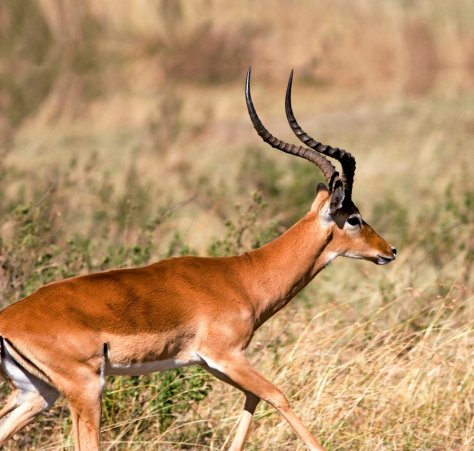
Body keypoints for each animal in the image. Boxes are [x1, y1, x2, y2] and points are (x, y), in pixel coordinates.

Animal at [0, 68, 394, 451]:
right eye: (354, 218)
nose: (389, 251)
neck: (243, 276)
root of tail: (8, 320)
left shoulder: (212, 362)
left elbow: (253, 399)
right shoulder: (226, 355)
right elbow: (277, 396)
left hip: (38, 393)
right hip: (85, 389)